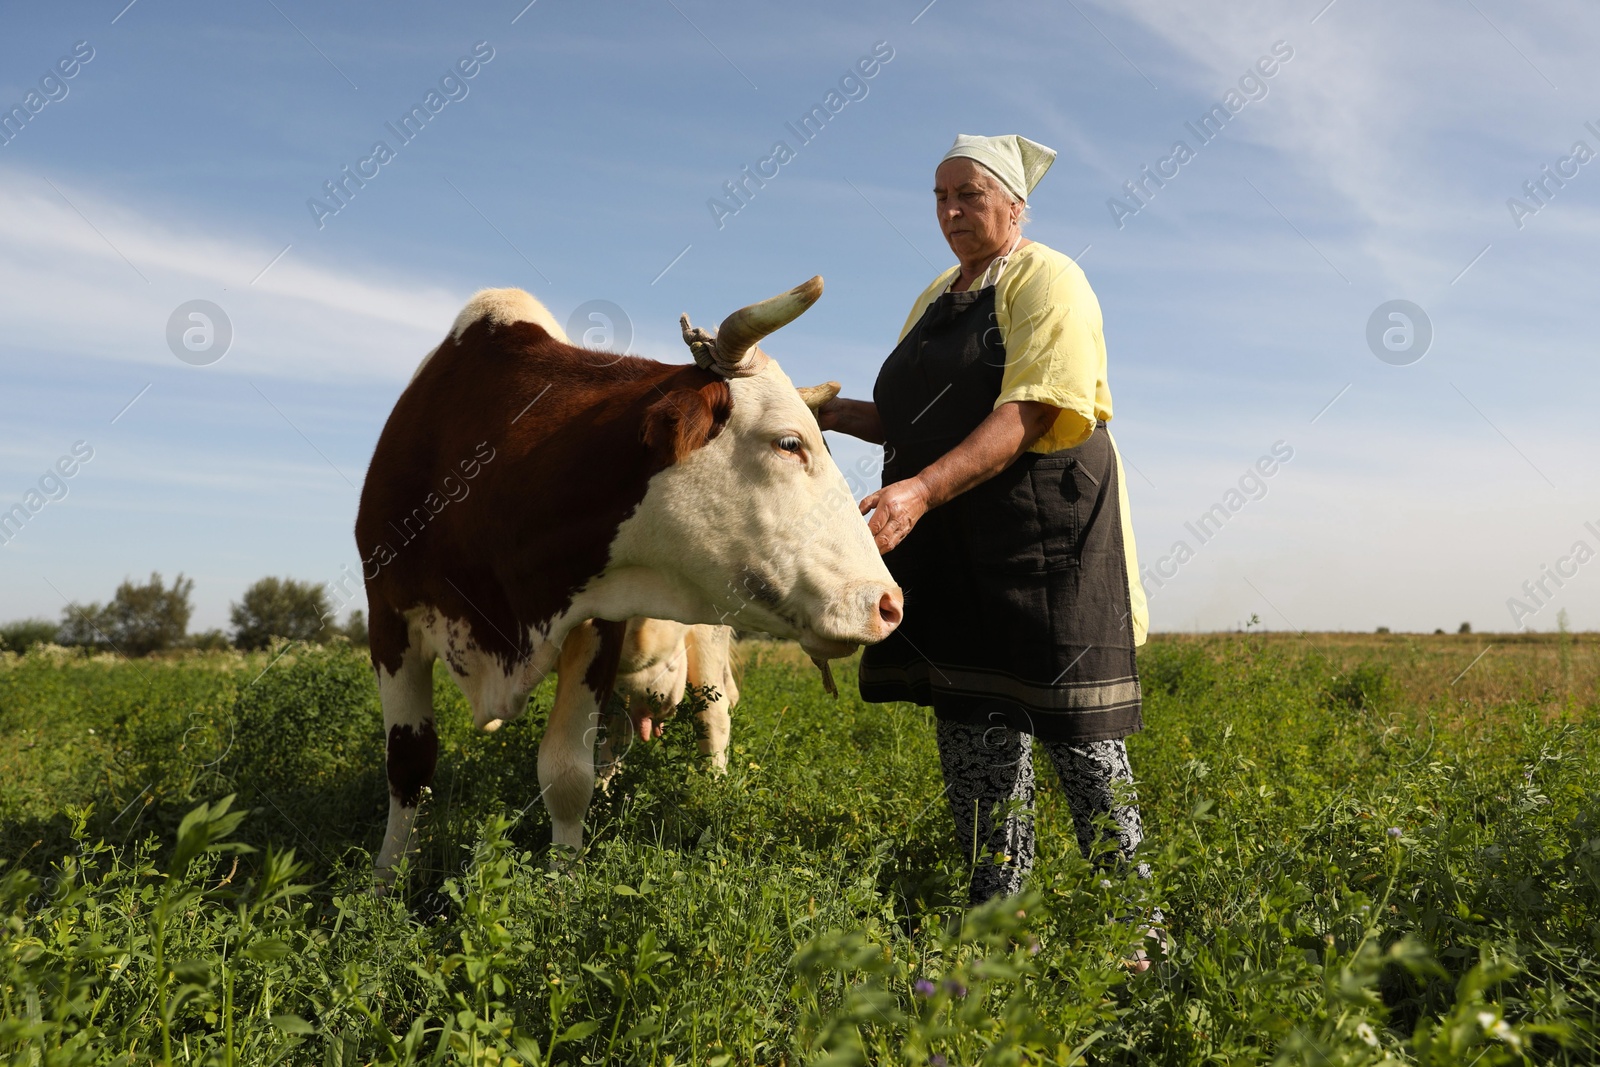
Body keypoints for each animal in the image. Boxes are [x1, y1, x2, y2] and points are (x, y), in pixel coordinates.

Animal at [353, 279, 902, 870]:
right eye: (789, 442)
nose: (889, 604)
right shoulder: (386, 616)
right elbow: (408, 765)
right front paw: (386, 880)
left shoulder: (597, 620)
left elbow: (565, 772)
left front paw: (562, 878)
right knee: (615, 737)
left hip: (709, 637)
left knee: (711, 721)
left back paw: (712, 794)